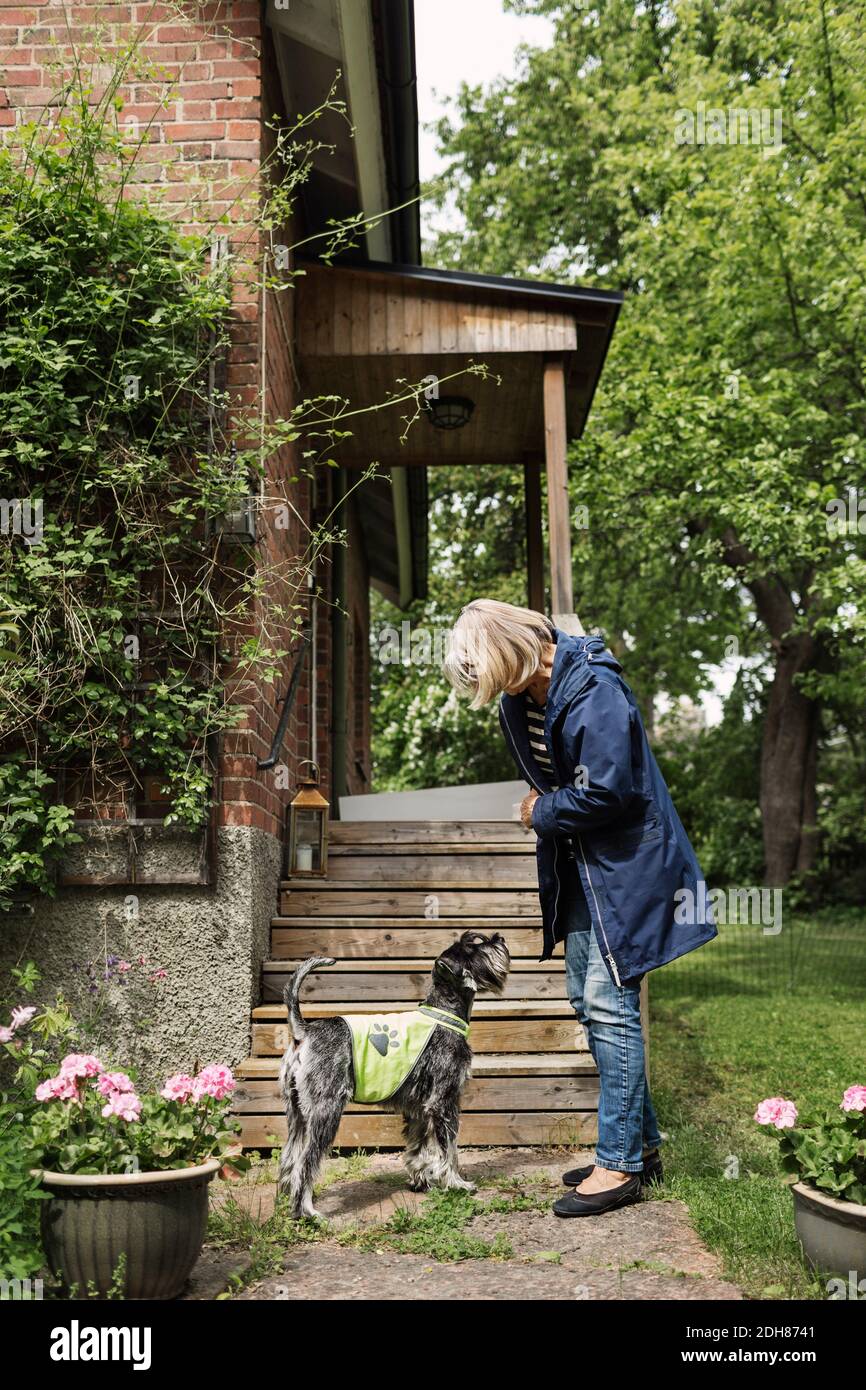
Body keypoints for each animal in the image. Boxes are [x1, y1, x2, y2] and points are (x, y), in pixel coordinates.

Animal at [278, 934, 508, 1217]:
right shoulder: (443, 1102)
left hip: (297, 1112)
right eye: (473, 950)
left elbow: (418, 1148)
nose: (500, 939)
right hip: (325, 1111)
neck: (444, 1013)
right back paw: (307, 1211)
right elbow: (449, 1149)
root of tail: (304, 1032)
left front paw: (421, 1181)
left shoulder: (419, 1108)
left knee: (289, 1157)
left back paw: (287, 1199)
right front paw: (457, 1183)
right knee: (306, 1161)